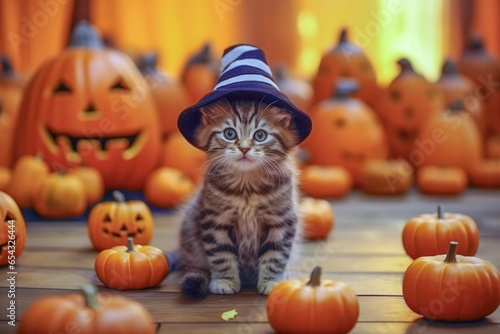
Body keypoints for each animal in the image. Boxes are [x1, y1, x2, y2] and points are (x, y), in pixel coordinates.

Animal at [177, 98, 300, 298]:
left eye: (260, 135)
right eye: (229, 133)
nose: (244, 148)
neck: (246, 188)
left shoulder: (282, 221)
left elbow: (276, 257)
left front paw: (272, 282)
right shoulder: (215, 221)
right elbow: (221, 255)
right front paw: (224, 281)